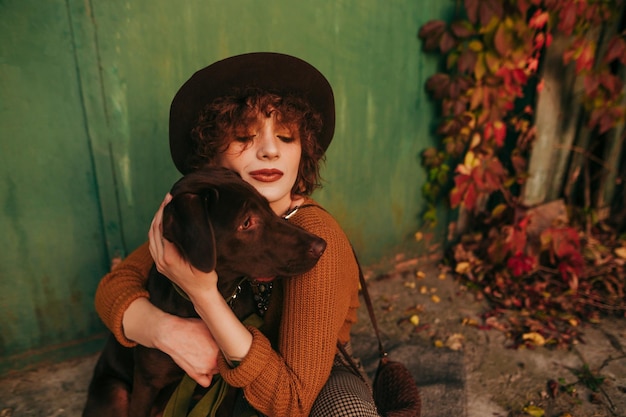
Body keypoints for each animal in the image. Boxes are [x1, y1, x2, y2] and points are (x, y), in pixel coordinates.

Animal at [83, 166, 326, 416]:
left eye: (268, 207)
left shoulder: (227, 388)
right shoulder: (146, 384)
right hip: (116, 393)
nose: (321, 245)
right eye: (246, 222)